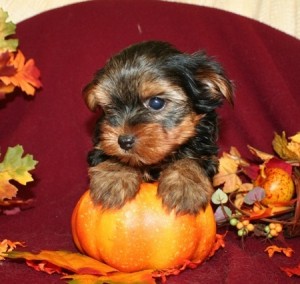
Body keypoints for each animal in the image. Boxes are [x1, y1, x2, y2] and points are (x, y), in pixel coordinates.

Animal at [83, 40, 233, 215]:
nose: (124, 141)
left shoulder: (205, 149)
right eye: (109, 107)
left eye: (156, 103)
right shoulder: (100, 143)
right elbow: (115, 155)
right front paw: (113, 177)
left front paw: (184, 186)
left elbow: (192, 158)